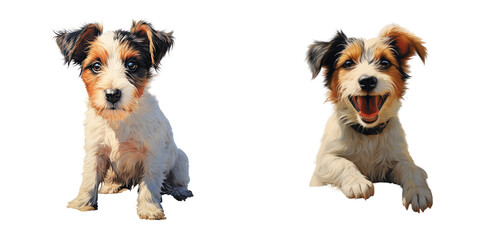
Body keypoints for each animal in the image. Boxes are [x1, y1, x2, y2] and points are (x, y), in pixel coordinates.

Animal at [54, 20, 193, 219]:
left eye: (132, 65)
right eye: (96, 66)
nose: (112, 94)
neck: (119, 120)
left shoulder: (153, 153)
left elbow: (150, 182)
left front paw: (149, 208)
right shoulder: (95, 150)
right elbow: (89, 177)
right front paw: (82, 203)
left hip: (181, 159)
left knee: (178, 180)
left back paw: (179, 190)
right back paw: (112, 185)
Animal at [310, 24, 434, 212]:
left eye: (385, 62)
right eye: (348, 63)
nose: (367, 81)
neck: (367, 134)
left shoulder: (399, 158)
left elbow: (411, 168)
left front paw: (418, 191)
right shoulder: (323, 163)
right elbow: (341, 162)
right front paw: (357, 182)